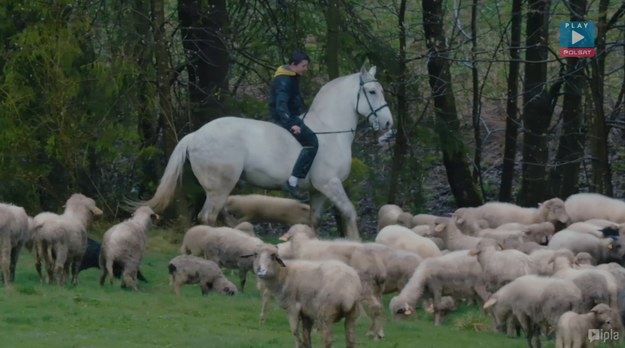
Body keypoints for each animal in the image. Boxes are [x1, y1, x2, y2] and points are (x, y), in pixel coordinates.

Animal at [138, 65, 390, 239]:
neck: (331, 130)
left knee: (221, 214)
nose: (388, 123)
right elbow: (349, 212)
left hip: (223, 187)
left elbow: (314, 220)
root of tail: (195, 135)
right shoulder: (330, 184)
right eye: (371, 91)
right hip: (219, 187)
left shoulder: (318, 191)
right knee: (208, 216)